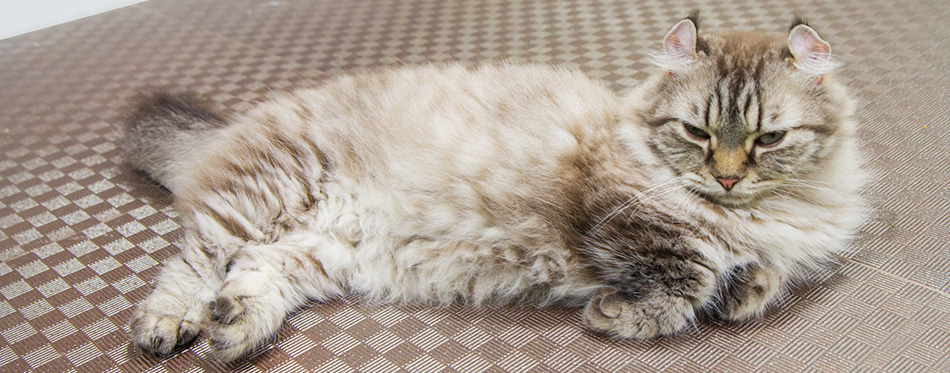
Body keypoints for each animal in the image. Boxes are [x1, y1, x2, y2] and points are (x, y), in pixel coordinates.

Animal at [126, 15, 872, 364]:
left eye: (767, 139)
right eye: (696, 131)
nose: (727, 175)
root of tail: (237, 122)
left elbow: (759, 277)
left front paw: (744, 290)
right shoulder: (616, 216)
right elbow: (683, 278)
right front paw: (615, 314)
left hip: (321, 251)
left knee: (253, 270)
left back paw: (235, 324)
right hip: (265, 192)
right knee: (193, 260)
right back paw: (172, 324)